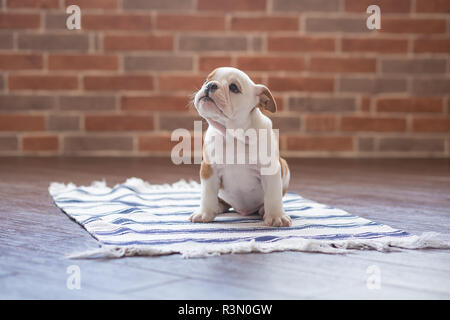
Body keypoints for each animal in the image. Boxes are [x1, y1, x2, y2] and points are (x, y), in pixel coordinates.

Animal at [188, 67, 290, 228]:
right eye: (206, 80)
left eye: (233, 87)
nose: (210, 85)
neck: (233, 135)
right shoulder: (209, 169)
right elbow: (207, 194)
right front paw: (204, 213)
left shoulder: (270, 169)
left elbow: (273, 196)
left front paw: (276, 216)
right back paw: (218, 207)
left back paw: (263, 209)